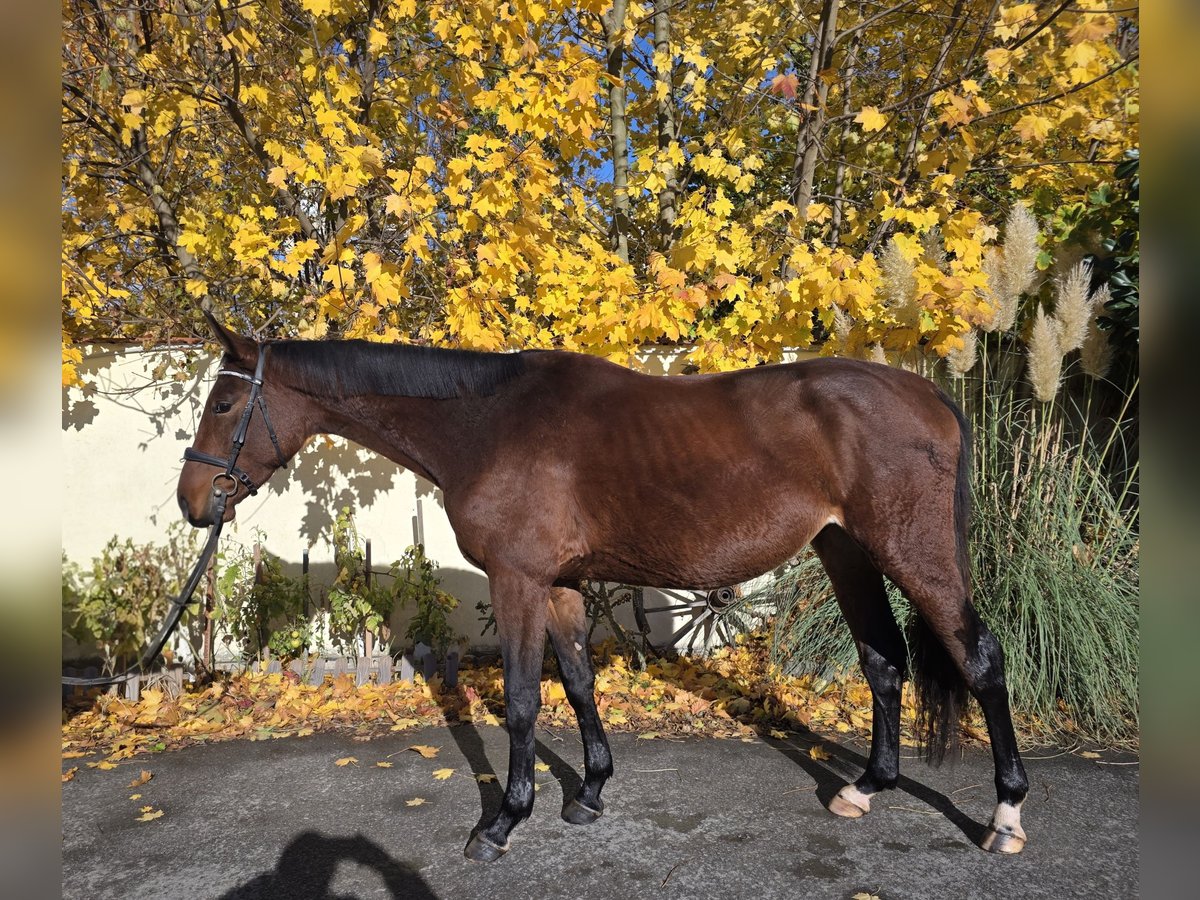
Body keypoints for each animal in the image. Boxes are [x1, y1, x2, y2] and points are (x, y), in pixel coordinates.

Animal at [177, 314, 1029, 861]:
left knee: (980, 659)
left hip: (912, 552)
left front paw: (502, 824)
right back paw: (866, 789)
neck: (487, 421)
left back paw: (1006, 815)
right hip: (846, 550)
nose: (192, 502)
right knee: (883, 660)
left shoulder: (518, 580)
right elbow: (580, 682)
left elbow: (524, 700)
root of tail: (930, 396)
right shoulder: (559, 583)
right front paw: (588, 791)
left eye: (225, 402)